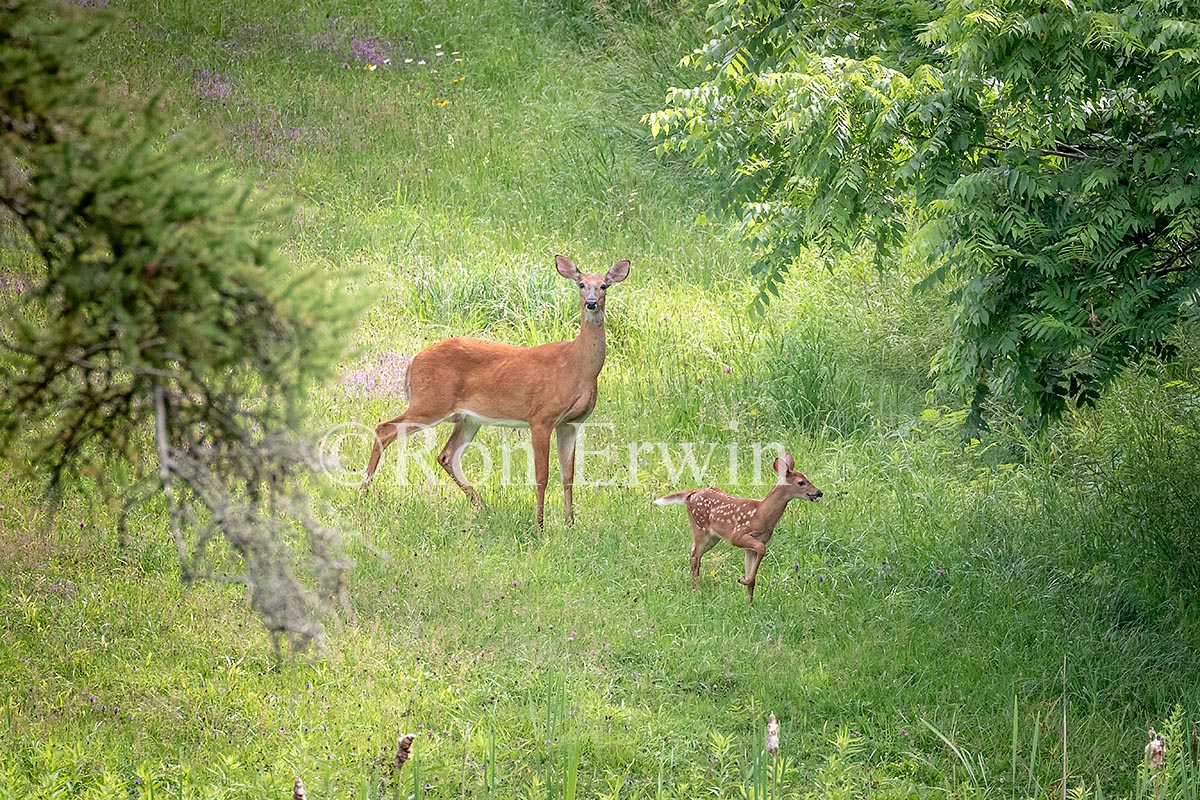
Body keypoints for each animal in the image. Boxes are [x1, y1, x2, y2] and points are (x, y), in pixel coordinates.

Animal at [360, 256, 633, 527]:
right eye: (581, 284)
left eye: (604, 286)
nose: (591, 304)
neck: (576, 366)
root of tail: (413, 361)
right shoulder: (541, 416)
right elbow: (542, 475)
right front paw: (540, 525)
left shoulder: (571, 423)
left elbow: (569, 476)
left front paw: (570, 524)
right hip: (430, 403)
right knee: (385, 428)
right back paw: (363, 492)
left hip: (467, 418)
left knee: (447, 455)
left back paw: (484, 508)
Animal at [652, 453, 820, 604]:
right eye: (801, 482)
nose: (819, 492)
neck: (761, 514)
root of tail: (692, 493)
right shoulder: (738, 536)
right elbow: (761, 549)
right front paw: (744, 581)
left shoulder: (752, 546)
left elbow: (753, 566)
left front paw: (750, 602)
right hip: (700, 528)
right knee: (694, 557)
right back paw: (697, 590)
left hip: (713, 537)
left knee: (693, 552)